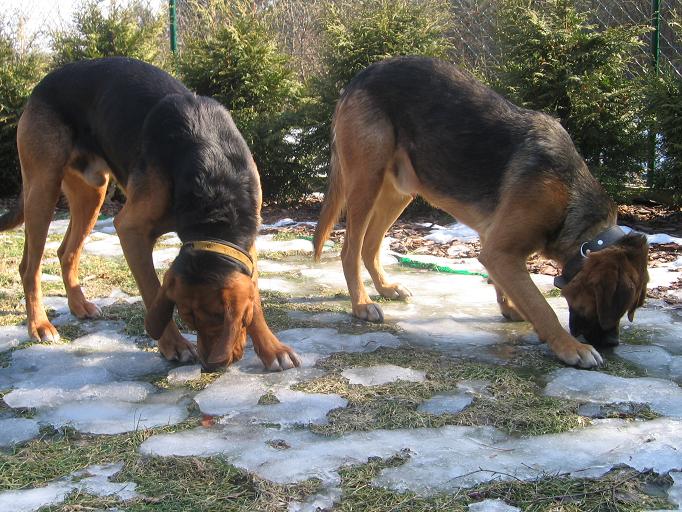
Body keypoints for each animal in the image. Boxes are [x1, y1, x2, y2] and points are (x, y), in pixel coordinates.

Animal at [0, 57, 298, 372]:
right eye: (188, 319)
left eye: (229, 320)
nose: (210, 366)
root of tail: (41, 85)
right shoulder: (130, 229)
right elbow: (153, 290)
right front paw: (175, 345)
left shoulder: (248, 236)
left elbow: (254, 296)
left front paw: (272, 348)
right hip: (43, 189)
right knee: (29, 266)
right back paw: (39, 325)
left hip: (92, 194)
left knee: (66, 252)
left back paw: (79, 305)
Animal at [314, 56, 648, 368]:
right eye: (617, 304)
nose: (612, 344)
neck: (570, 196)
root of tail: (360, 76)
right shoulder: (500, 253)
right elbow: (542, 306)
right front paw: (571, 347)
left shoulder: (496, 246)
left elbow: (513, 289)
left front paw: (511, 307)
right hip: (366, 182)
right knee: (350, 249)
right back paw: (362, 304)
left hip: (400, 191)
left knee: (370, 246)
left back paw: (385, 288)